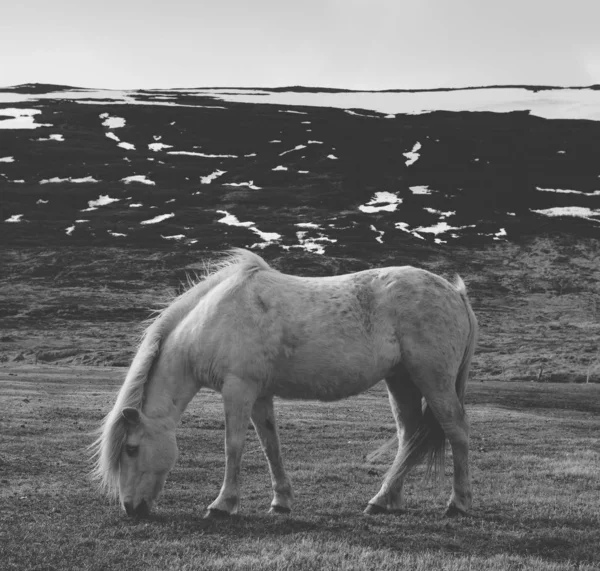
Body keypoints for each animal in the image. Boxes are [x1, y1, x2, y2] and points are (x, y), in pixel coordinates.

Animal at [91, 249, 478, 520]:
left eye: (132, 449)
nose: (131, 508)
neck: (212, 321)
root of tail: (455, 292)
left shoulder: (238, 390)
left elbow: (234, 446)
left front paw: (222, 504)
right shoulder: (260, 394)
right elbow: (270, 446)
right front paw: (281, 501)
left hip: (433, 380)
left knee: (456, 431)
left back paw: (457, 503)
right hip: (401, 381)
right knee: (409, 436)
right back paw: (384, 500)